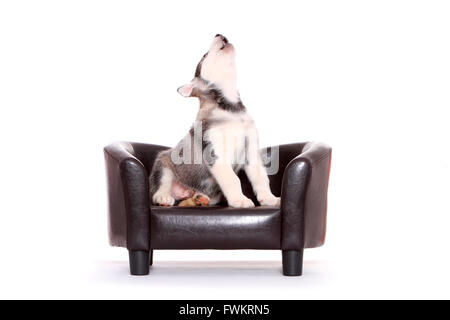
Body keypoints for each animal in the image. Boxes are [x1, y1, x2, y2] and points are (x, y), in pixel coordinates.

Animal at [149, 34, 280, 208]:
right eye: (205, 55)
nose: (219, 34)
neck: (230, 108)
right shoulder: (215, 152)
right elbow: (233, 179)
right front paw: (240, 199)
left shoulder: (251, 149)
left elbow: (261, 178)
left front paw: (269, 198)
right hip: (163, 164)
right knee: (161, 186)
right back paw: (163, 197)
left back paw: (198, 198)